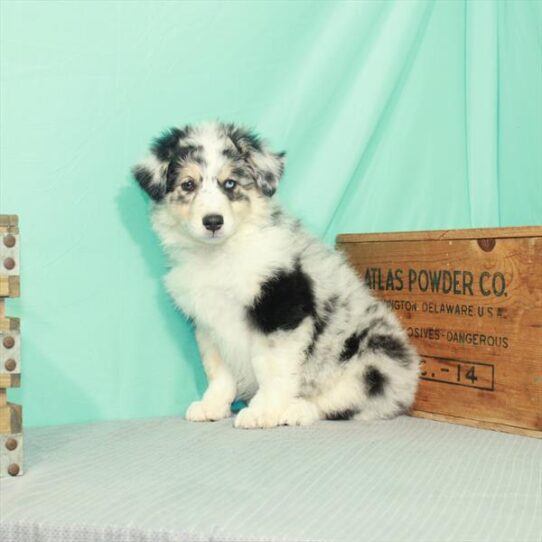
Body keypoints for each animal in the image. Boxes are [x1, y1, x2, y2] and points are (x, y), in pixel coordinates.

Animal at [134, 122, 422, 430]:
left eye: (230, 184)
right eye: (188, 184)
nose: (213, 222)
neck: (219, 255)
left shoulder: (281, 308)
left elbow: (271, 368)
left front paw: (263, 411)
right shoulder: (208, 322)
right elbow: (218, 370)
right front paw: (212, 405)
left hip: (376, 361)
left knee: (349, 401)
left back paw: (297, 410)